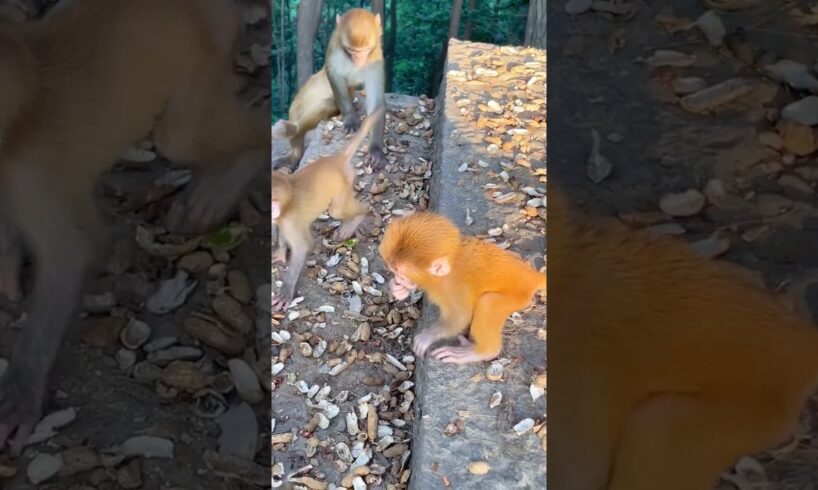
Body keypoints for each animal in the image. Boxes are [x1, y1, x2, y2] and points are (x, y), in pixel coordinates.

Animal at [0, 0, 269, 455]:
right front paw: (7, 264)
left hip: (208, 48)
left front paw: (21, 394)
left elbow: (72, 254)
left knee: (182, 135)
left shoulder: (28, 172)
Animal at [270, 106, 384, 312]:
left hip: (344, 184)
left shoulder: (289, 219)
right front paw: (280, 253)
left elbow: (302, 247)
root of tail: (337, 159)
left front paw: (286, 292)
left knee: (338, 210)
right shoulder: (282, 218)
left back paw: (359, 216)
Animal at [271, 8, 387, 171]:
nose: (358, 60)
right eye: (351, 50)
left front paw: (376, 151)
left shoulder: (375, 57)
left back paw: (294, 153)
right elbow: (334, 75)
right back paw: (292, 132)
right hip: (296, 107)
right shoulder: (334, 46)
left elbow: (376, 102)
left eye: (366, 50)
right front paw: (350, 118)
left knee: (329, 105)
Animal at [378, 212, 546, 364]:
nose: (398, 280)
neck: (452, 265)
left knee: (488, 302)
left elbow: (460, 317)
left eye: (401, 275)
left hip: (519, 296)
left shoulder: (456, 288)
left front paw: (428, 336)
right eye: (394, 272)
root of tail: (531, 275)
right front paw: (397, 290)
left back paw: (483, 352)